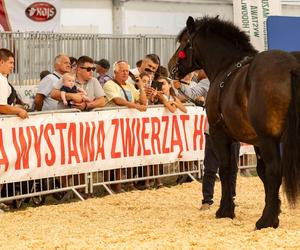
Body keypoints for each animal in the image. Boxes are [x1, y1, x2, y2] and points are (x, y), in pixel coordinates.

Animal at [169, 16, 300, 230]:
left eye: (184, 42)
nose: (171, 66)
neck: (226, 66)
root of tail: (291, 66)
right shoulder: (255, 141)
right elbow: (260, 173)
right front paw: (275, 211)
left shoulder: (220, 134)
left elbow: (226, 169)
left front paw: (225, 210)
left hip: (269, 139)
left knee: (275, 170)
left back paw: (264, 221)